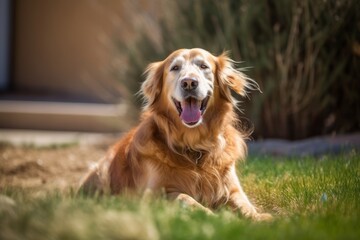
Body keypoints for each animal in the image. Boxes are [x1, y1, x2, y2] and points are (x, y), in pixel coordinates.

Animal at [79, 48, 270, 221]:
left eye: (203, 66)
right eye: (175, 68)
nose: (189, 82)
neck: (195, 147)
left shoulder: (232, 189)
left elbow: (244, 205)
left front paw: (260, 217)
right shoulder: (154, 194)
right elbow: (187, 199)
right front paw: (214, 217)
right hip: (103, 171)